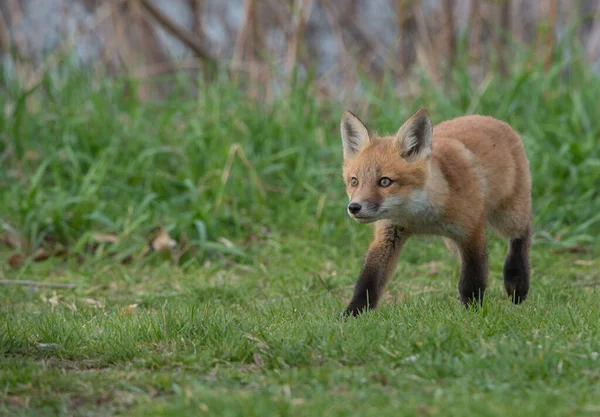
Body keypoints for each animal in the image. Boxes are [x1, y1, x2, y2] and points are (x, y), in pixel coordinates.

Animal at [340, 107, 532, 316]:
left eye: (384, 181)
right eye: (354, 181)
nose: (354, 207)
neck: (420, 219)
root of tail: (490, 118)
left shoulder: (472, 231)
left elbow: (472, 280)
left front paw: (471, 312)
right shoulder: (388, 235)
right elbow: (368, 282)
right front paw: (352, 315)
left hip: (507, 217)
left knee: (524, 232)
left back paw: (517, 280)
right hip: (452, 242)